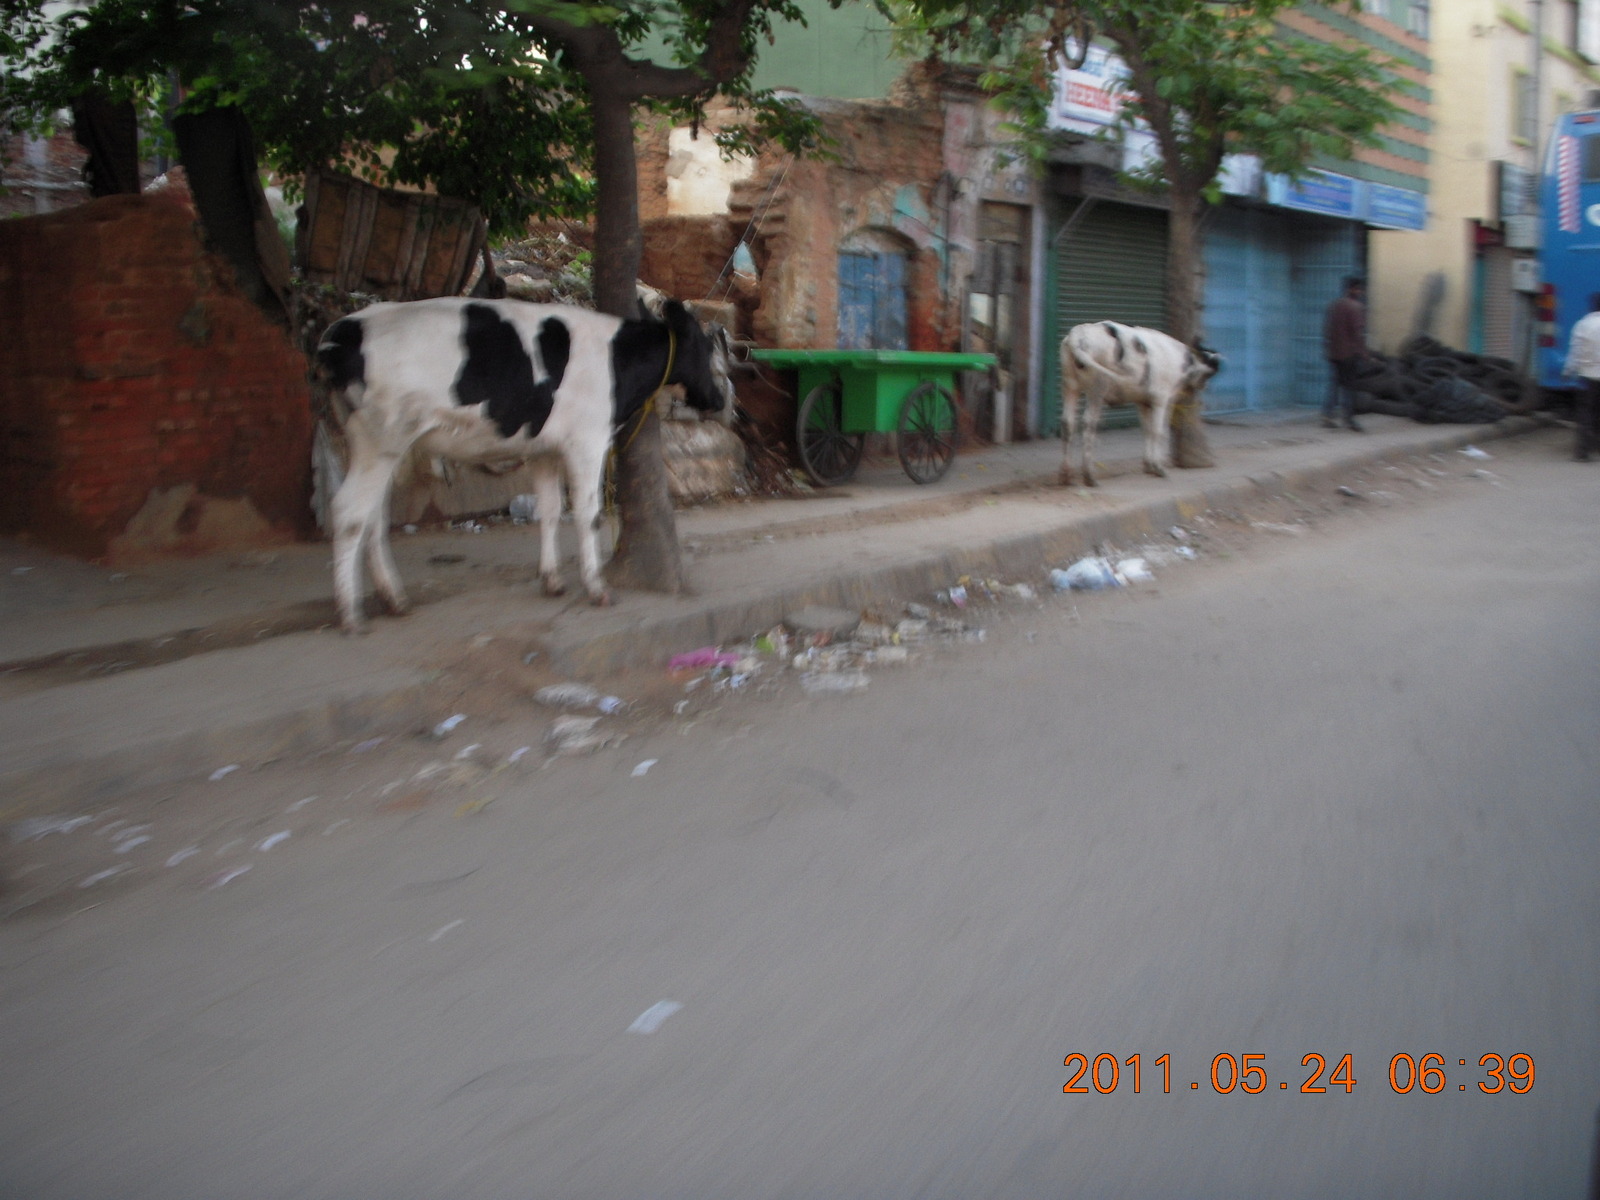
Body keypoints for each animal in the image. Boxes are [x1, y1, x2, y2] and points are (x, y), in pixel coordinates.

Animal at [316, 297, 734, 634]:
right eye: (706, 350)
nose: (719, 400)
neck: (618, 362)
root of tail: (341, 330)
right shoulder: (588, 440)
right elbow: (588, 514)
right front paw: (597, 588)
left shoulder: (544, 449)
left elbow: (549, 510)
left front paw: (552, 580)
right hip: (381, 438)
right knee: (349, 511)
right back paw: (351, 614)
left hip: (378, 444)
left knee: (373, 515)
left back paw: (394, 599)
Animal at [1059, 321, 1221, 487]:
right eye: (1211, 369)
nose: (1205, 386)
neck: (1183, 360)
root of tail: (1078, 334)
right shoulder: (1162, 399)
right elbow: (1158, 431)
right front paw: (1158, 467)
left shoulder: (1143, 402)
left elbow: (1147, 430)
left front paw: (1148, 466)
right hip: (1097, 388)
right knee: (1089, 423)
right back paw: (1089, 476)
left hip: (1070, 386)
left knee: (1068, 424)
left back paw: (1066, 476)